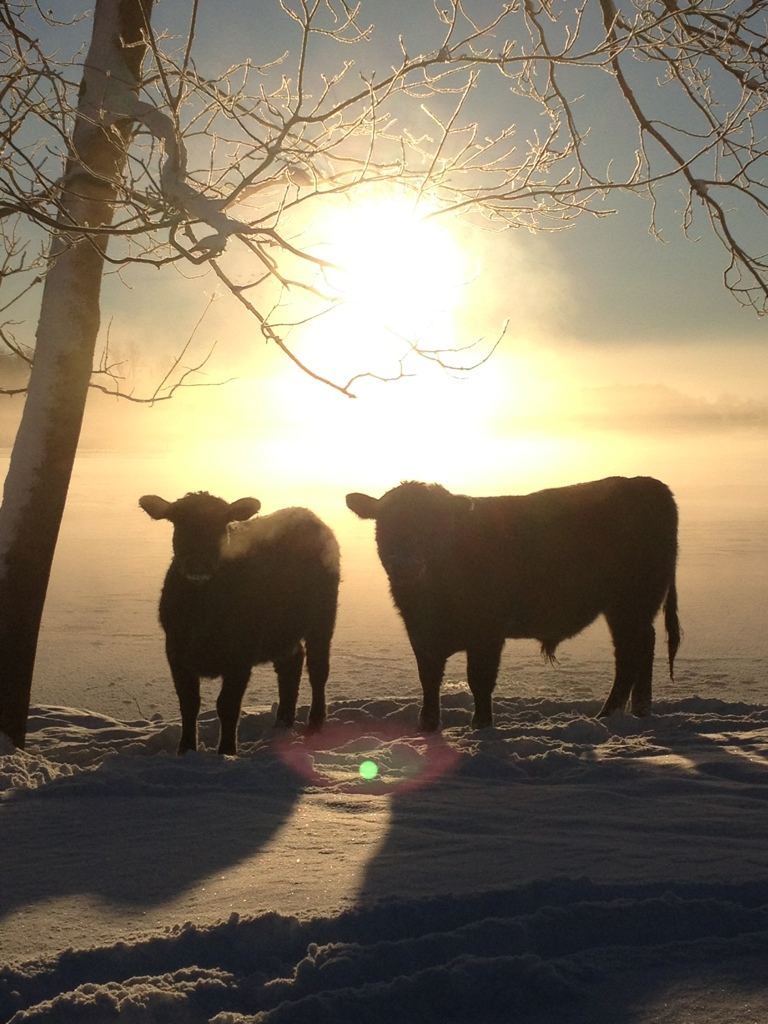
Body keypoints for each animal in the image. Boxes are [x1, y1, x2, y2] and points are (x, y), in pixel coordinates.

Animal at [139, 491, 342, 757]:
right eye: (177, 520)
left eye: (222, 522)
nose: (198, 562)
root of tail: (307, 514)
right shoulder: (176, 651)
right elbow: (188, 703)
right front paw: (185, 750)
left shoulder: (241, 655)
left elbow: (227, 705)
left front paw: (227, 752)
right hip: (281, 630)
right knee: (291, 662)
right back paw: (282, 723)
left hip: (323, 616)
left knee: (318, 669)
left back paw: (314, 724)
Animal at [346, 477, 684, 729]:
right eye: (384, 523)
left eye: (435, 525)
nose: (405, 564)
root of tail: (648, 484)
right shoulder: (422, 635)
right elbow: (429, 681)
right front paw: (427, 728)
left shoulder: (487, 633)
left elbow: (479, 681)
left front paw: (482, 728)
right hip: (632, 608)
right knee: (645, 646)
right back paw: (639, 711)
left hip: (629, 604)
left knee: (629, 655)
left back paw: (608, 716)